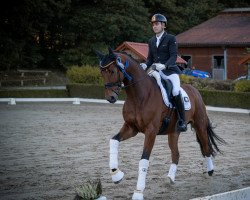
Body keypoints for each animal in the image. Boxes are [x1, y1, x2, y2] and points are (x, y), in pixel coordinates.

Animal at [95, 47, 225, 199]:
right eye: (102, 72)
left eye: (112, 71)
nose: (110, 97)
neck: (139, 95)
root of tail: (195, 91)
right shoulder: (131, 128)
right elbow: (113, 141)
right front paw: (116, 175)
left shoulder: (151, 131)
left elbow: (144, 160)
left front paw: (138, 193)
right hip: (174, 132)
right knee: (176, 154)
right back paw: (171, 178)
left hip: (200, 125)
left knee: (205, 147)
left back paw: (210, 172)